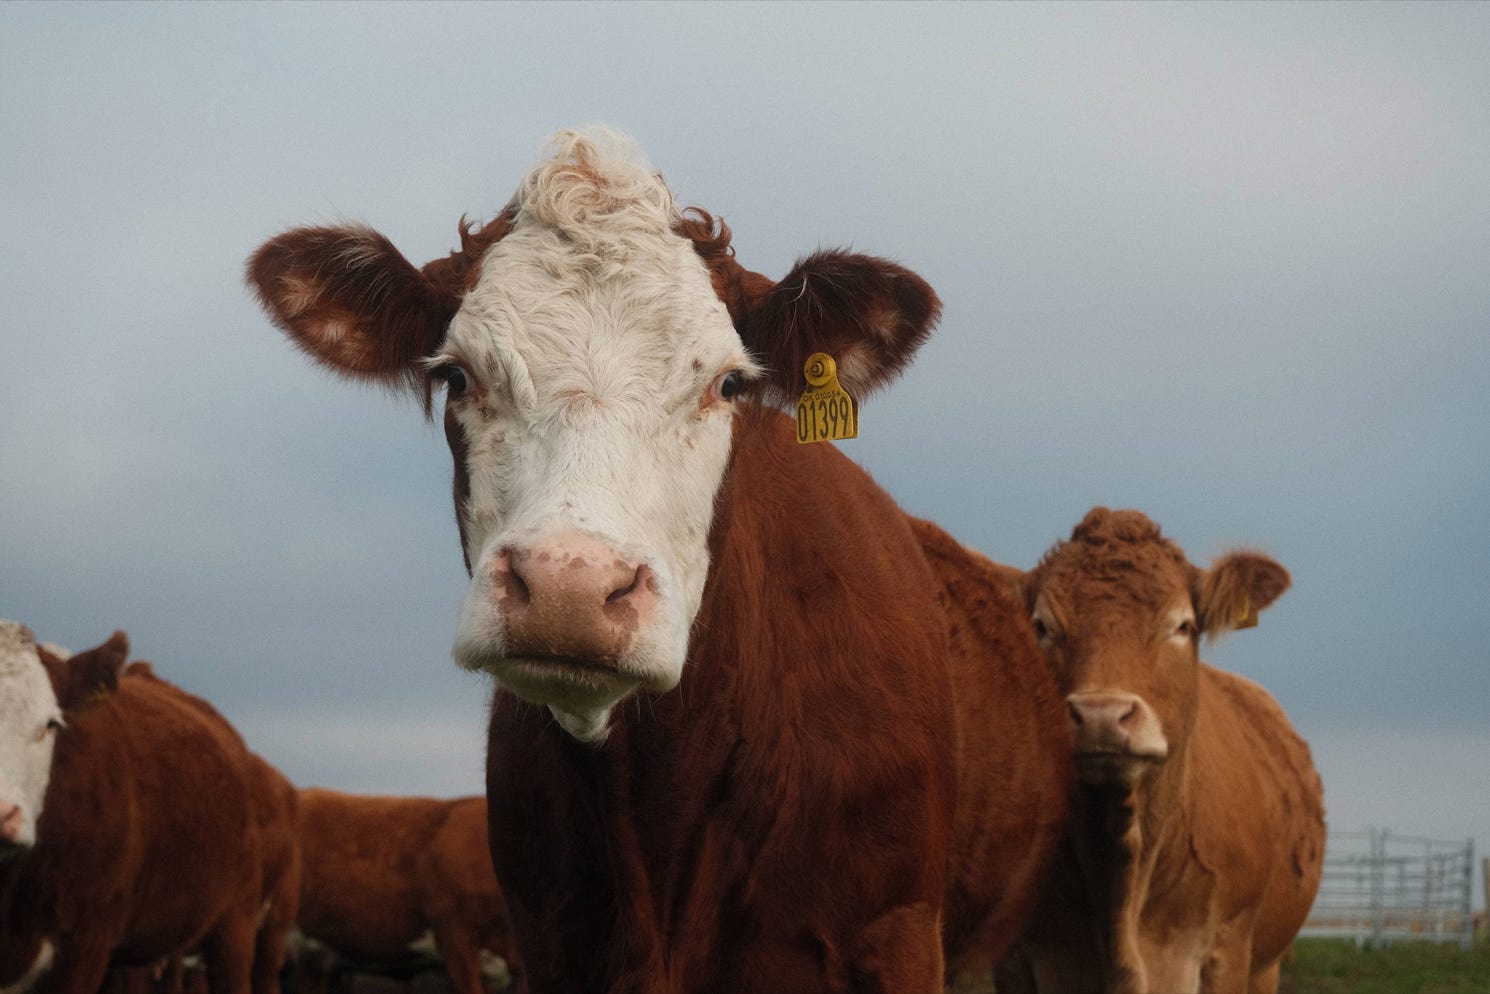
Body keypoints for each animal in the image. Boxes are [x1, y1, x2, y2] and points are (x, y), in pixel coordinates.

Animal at [990, 508, 1326, 994]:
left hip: (1266, 965)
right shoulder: (1016, 958)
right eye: (1041, 627)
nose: (1101, 715)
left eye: (1182, 625)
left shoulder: (1227, 951)